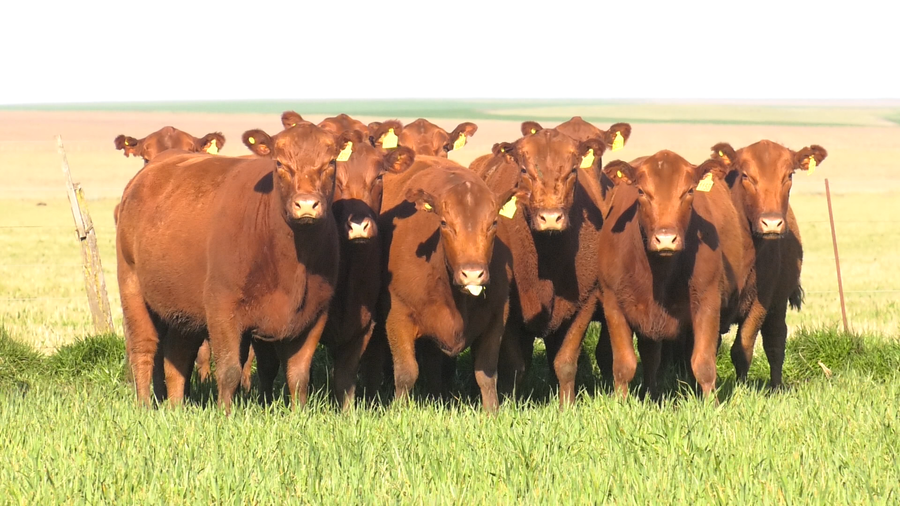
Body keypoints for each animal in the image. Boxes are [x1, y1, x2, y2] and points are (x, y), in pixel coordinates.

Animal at [116, 123, 346, 411]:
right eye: (279, 163)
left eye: (330, 162)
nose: (306, 204)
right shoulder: (221, 307)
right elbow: (229, 371)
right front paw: (225, 414)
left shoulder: (316, 311)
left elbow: (298, 375)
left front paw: (299, 414)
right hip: (132, 285)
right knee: (144, 348)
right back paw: (145, 406)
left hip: (181, 308)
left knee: (178, 357)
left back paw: (176, 407)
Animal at [377, 156, 515, 412]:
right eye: (444, 223)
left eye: (493, 223)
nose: (473, 274)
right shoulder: (397, 314)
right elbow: (406, 372)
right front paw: (398, 411)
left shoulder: (497, 315)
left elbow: (486, 373)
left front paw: (492, 411)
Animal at [469, 121, 631, 407]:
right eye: (524, 170)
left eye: (572, 170)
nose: (551, 217)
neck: (549, 257)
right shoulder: (509, 305)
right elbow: (515, 364)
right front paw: (510, 404)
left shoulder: (586, 300)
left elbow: (565, 361)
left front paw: (566, 406)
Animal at [596, 151, 744, 398]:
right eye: (641, 191)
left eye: (689, 191)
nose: (666, 239)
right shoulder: (613, 304)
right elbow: (624, 365)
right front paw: (620, 403)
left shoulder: (708, 301)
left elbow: (703, 364)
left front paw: (710, 404)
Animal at [710, 140, 825, 388]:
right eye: (745, 175)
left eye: (789, 175)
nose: (771, 223)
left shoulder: (762, 301)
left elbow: (742, 348)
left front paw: (741, 387)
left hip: (778, 305)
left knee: (775, 341)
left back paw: (776, 387)